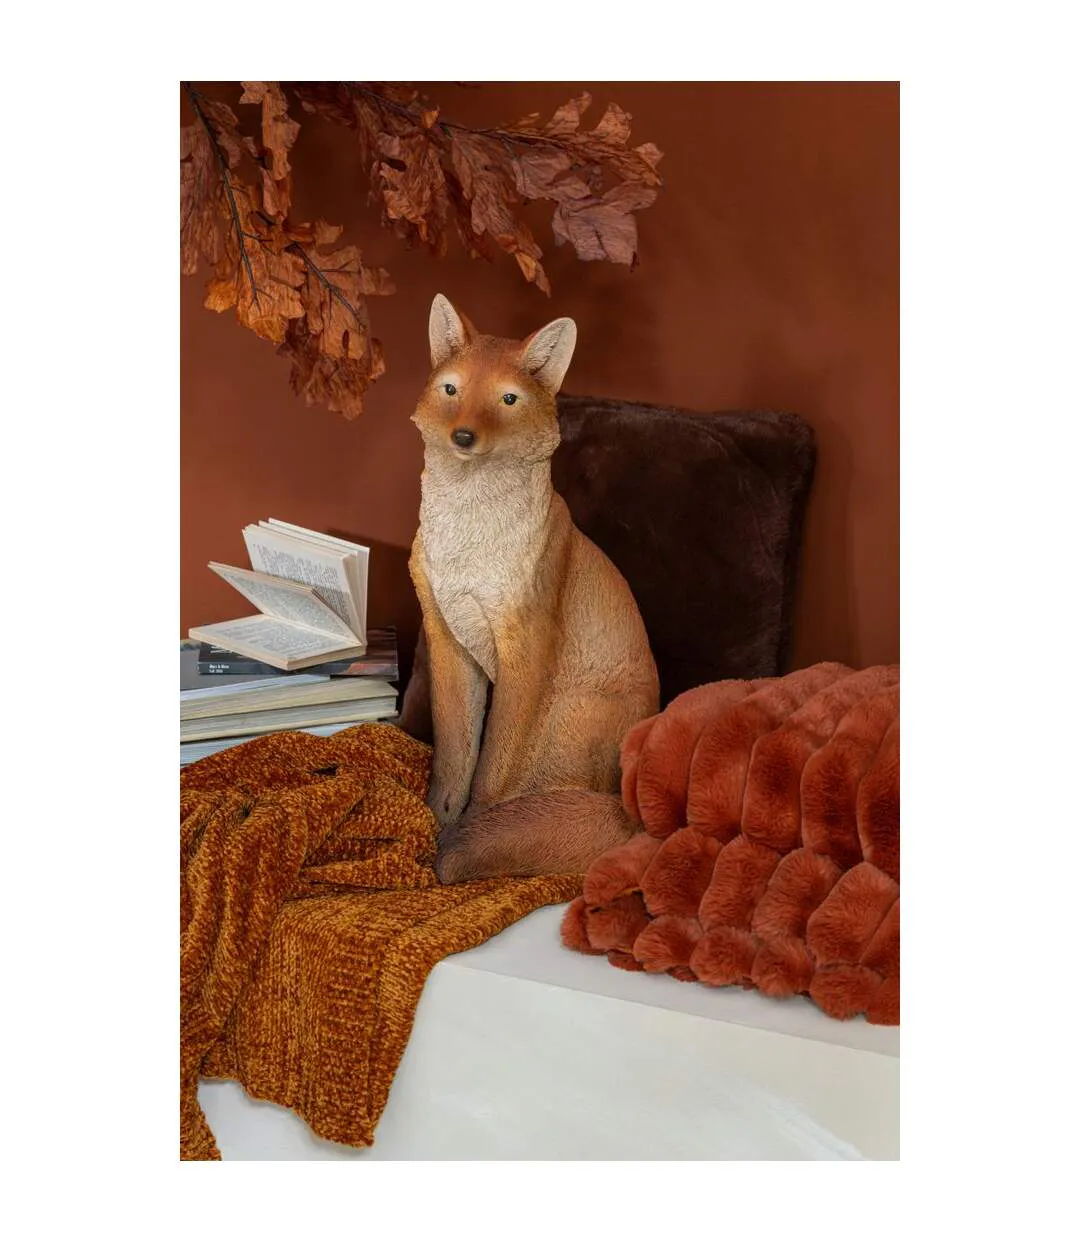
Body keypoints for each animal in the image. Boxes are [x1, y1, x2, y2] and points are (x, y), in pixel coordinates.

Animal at [409, 294, 660, 883]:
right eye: (451, 389)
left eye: (508, 399)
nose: (463, 436)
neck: (469, 553)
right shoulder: (450, 639)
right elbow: (454, 756)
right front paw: (434, 823)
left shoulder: (527, 646)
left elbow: (493, 772)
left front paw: (467, 833)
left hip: (570, 719)